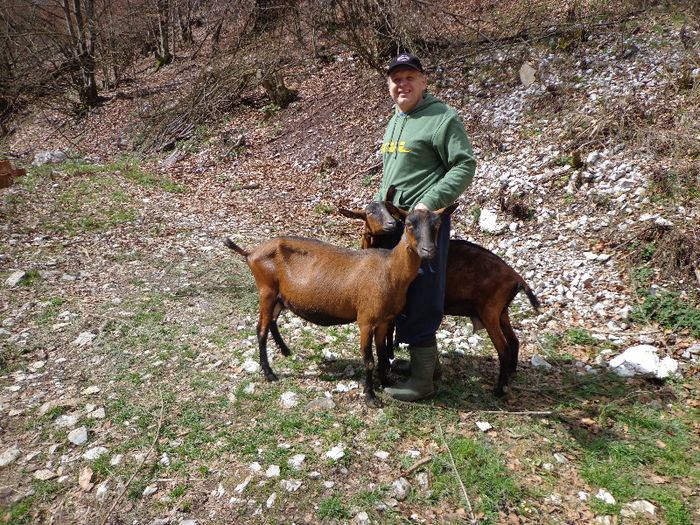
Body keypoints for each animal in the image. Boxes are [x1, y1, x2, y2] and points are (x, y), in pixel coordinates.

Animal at [223, 204, 454, 406]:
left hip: (280, 296)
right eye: (408, 224)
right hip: (266, 290)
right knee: (260, 329)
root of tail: (250, 253)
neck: (390, 270)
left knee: (271, 320)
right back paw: (269, 373)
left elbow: (382, 355)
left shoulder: (384, 321)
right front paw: (371, 397)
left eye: (437, 225)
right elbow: (369, 360)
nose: (428, 250)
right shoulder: (366, 319)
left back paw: (286, 351)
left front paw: (386, 383)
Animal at [340, 202, 540, 398]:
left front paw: (389, 357)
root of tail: (517, 279)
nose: (391, 224)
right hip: (502, 311)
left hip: (490, 312)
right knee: (513, 341)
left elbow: (389, 328)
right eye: (369, 212)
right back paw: (511, 375)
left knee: (503, 348)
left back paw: (499, 389)